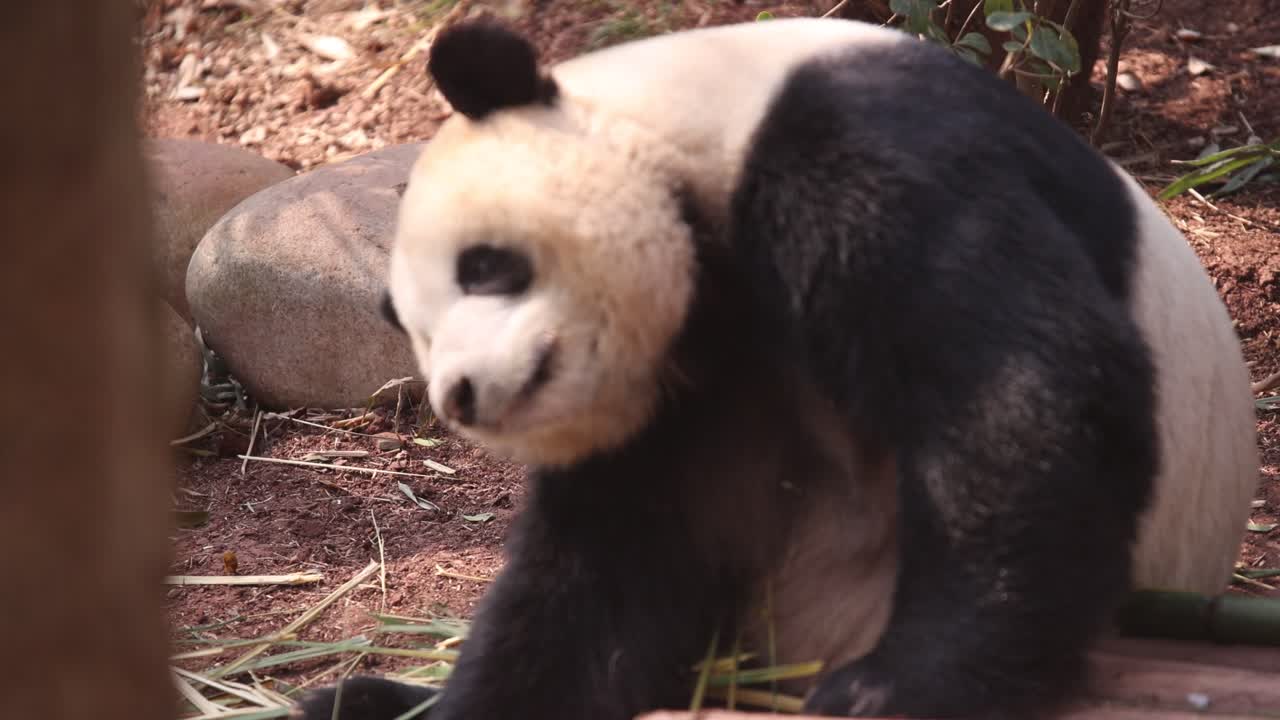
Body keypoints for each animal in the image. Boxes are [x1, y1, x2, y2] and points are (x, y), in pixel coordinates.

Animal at [298, 16, 1259, 720]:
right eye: (414, 332)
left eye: (485, 265)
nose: (462, 395)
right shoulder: (690, 390)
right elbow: (612, 571)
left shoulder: (865, 154)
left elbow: (1015, 389)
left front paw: (892, 687)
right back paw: (358, 696)